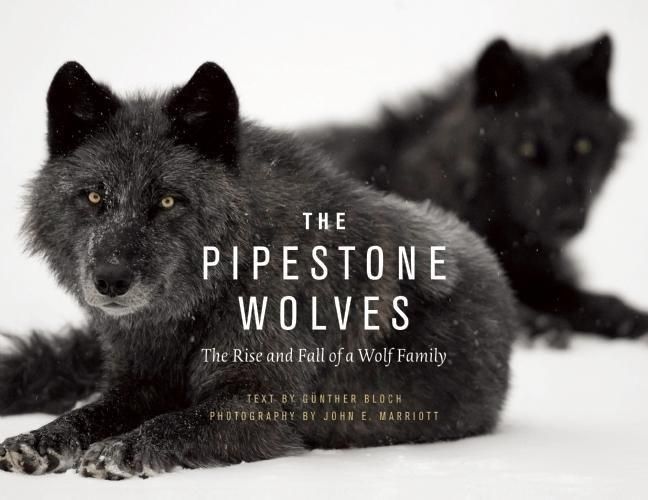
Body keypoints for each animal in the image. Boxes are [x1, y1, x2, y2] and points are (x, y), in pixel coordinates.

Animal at [0, 62, 515, 479]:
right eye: (93, 196)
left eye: (167, 200)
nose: (110, 280)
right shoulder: (137, 384)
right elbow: (88, 412)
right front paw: (40, 438)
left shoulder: (261, 405)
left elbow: (178, 422)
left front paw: (121, 450)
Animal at [304, 35, 648, 344]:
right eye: (525, 147)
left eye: (584, 145)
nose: (569, 220)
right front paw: (535, 324)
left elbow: (576, 296)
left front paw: (625, 315)